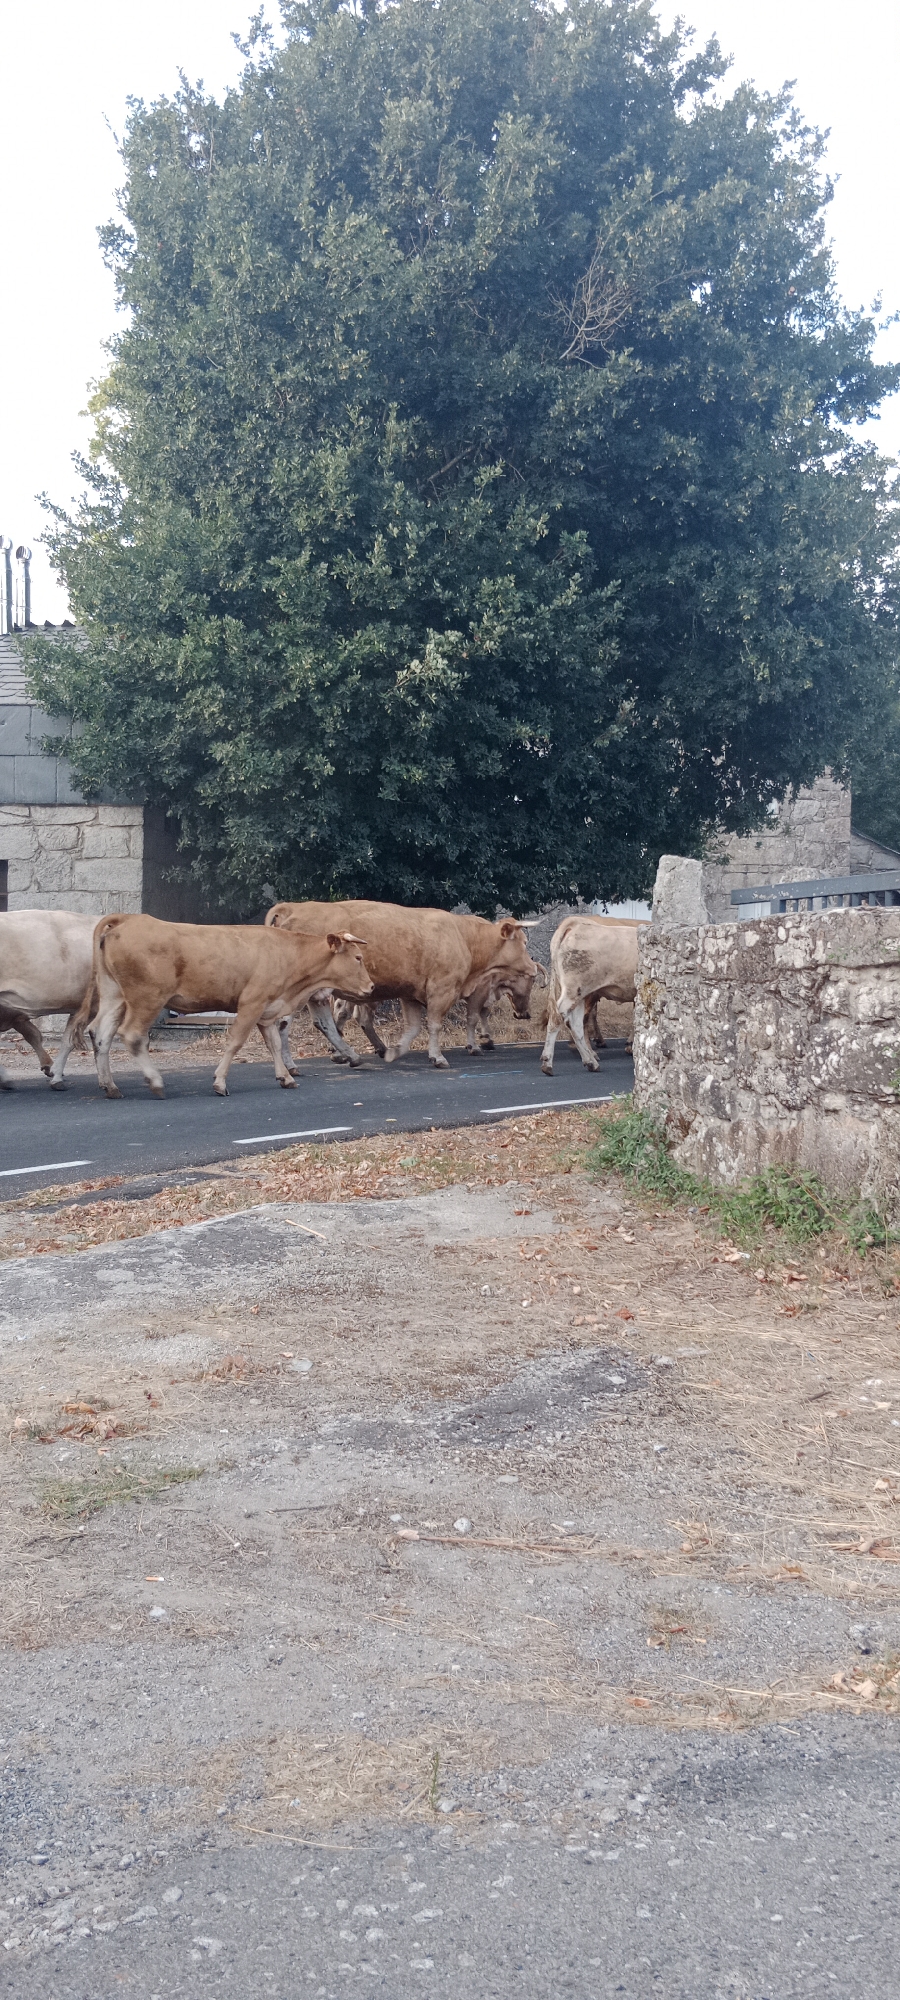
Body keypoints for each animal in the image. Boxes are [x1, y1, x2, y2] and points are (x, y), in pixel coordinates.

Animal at [76, 913, 374, 1098]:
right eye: (358, 957)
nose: (371, 987)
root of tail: (129, 918)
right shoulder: (251, 1003)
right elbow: (235, 1042)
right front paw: (219, 1082)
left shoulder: (267, 1009)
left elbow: (274, 1044)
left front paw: (285, 1078)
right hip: (147, 997)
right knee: (132, 1035)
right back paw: (156, 1082)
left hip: (114, 995)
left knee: (101, 1032)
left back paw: (110, 1086)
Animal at [265, 900, 537, 1069]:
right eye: (523, 942)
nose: (534, 968)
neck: (464, 937)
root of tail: (290, 907)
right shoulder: (442, 989)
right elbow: (436, 1024)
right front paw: (439, 1056)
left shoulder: (411, 994)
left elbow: (413, 1028)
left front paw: (393, 1052)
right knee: (284, 1025)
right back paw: (291, 1065)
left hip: (317, 994)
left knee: (325, 1023)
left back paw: (351, 1056)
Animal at [540, 916, 645, 1076]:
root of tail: (574, 922)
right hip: (573, 990)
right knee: (557, 1017)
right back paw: (548, 1064)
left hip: (580, 995)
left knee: (575, 1024)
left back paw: (590, 1062)